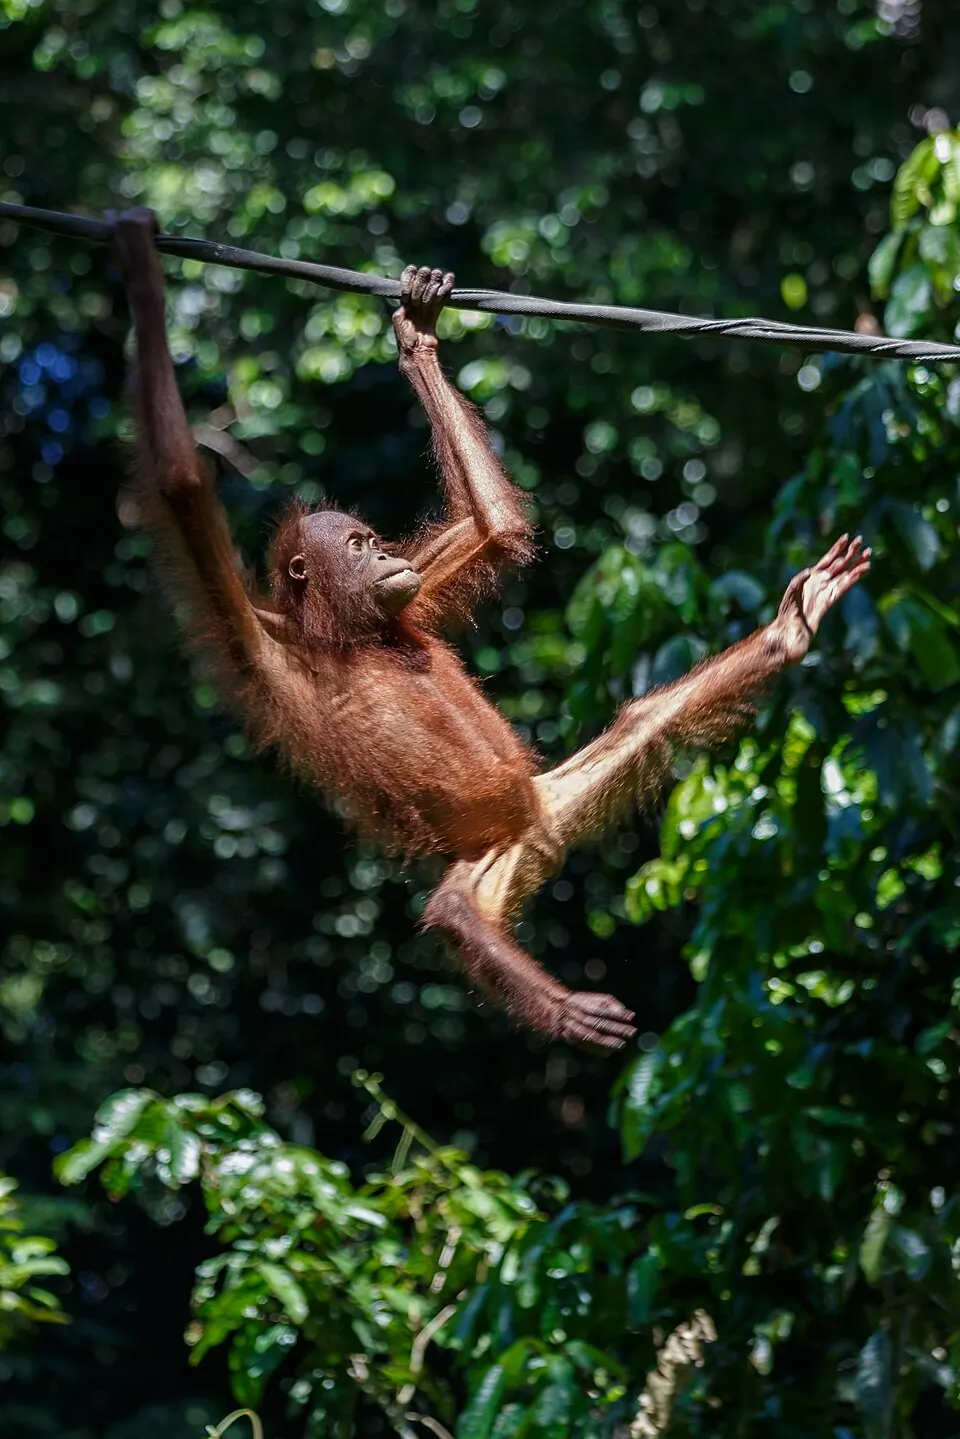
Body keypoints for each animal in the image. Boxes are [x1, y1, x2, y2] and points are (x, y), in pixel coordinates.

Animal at [108, 207, 871, 1051]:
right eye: (356, 548)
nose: (383, 556)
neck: (347, 632)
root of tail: (534, 830)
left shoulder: (413, 595)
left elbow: (498, 528)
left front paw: (416, 331)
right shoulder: (256, 632)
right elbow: (182, 483)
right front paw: (138, 263)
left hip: (551, 802)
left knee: (647, 721)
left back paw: (788, 632)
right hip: (486, 862)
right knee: (452, 911)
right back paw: (553, 999)